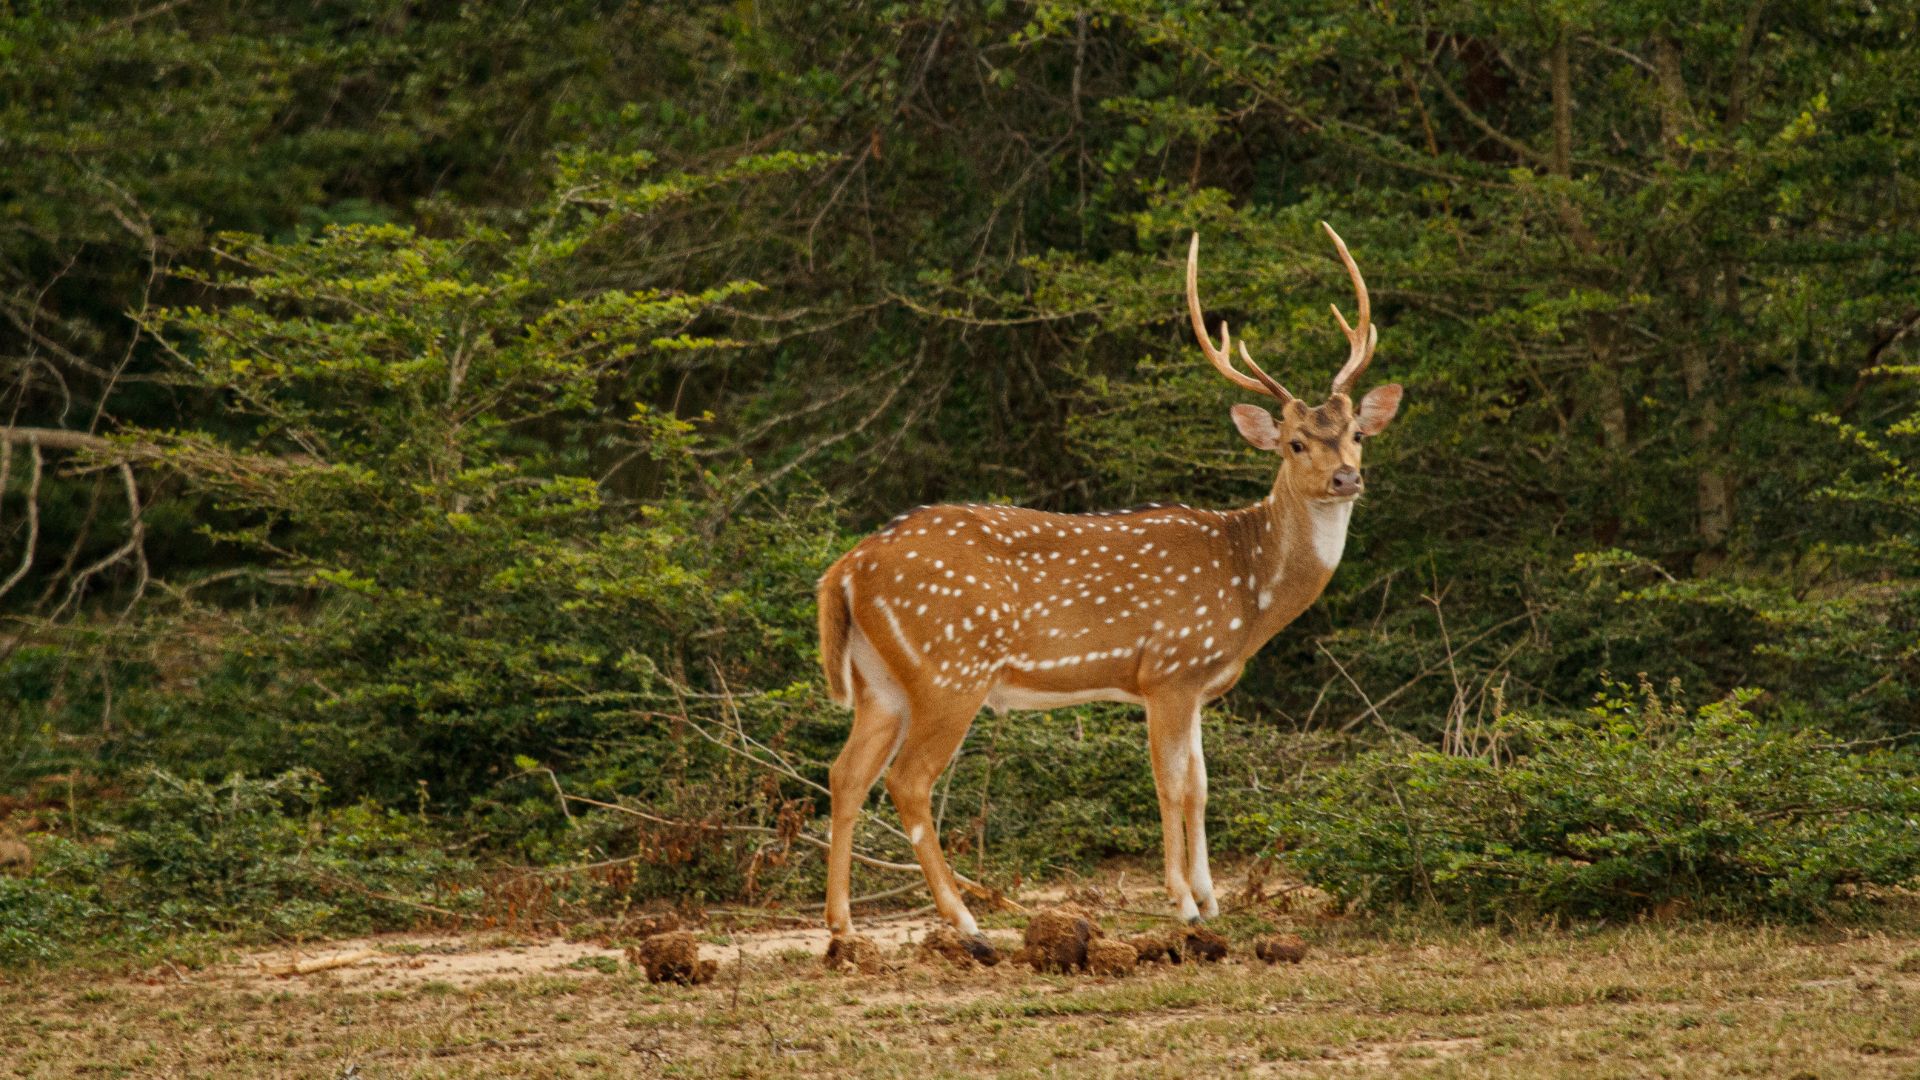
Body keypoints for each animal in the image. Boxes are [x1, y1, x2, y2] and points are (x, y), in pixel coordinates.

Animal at [817, 224, 1405, 949]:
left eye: (1355, 434)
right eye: (1295, 443)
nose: (1347, 477)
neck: (1248, 587)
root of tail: (847, 568)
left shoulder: (1199, 684)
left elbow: (1203, 784)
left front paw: (1213, 899)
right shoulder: (1168, 670)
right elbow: (1170, 784)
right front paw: (1183, 905)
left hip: (881, 682)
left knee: (845, 774)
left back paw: (843, 926)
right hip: (951, 667)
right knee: (908, 781)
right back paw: (966, 921)